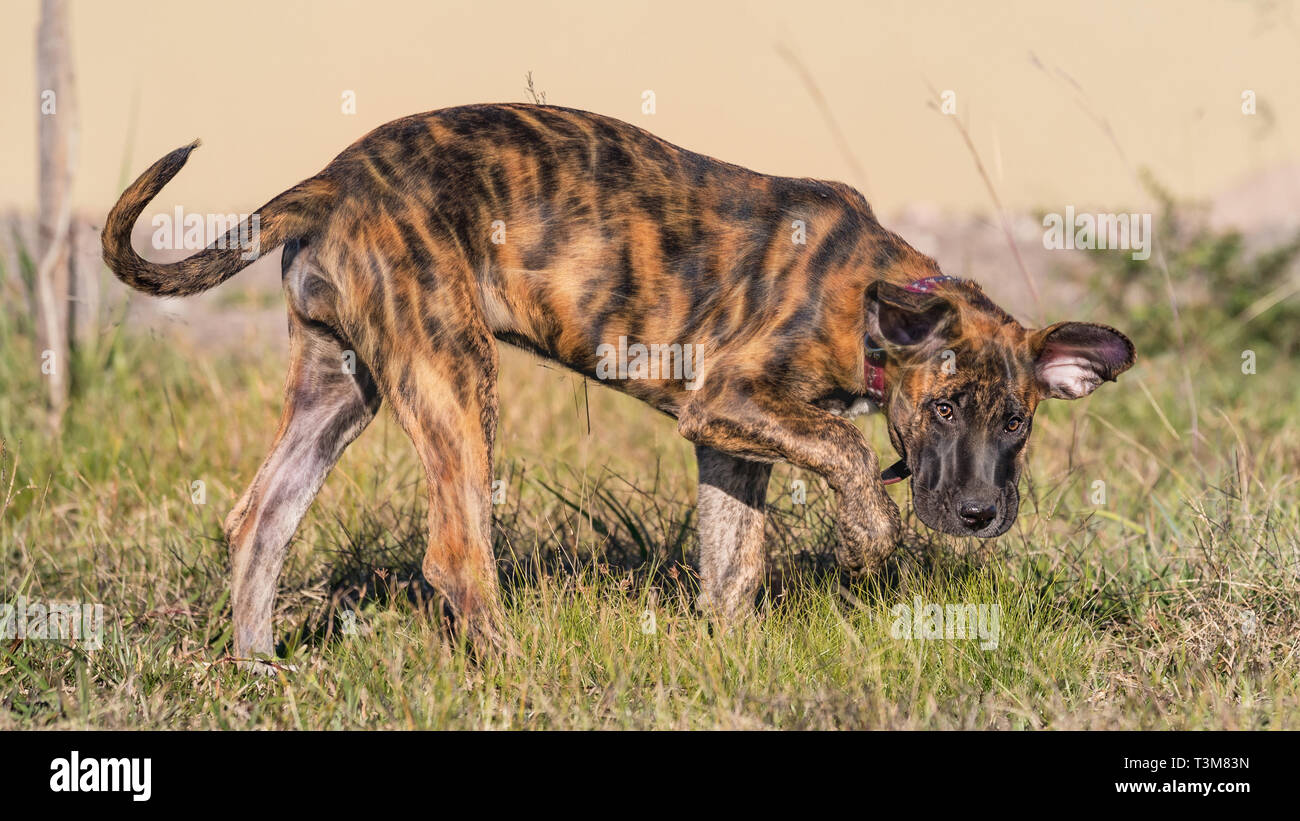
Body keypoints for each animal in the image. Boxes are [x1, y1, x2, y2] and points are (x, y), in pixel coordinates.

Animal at [104, 102, 1138, 657]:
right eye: (945, 407)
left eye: (1017, 423)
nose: (980, 515)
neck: (873, 294)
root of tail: (331, 177)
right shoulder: (733, 403)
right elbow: (847, 450)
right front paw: (869, 537)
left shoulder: (732, 443)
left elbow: (734, 562)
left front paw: (732, 655)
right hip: (453, 372)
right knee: (456, 553)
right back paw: (511, 670)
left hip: (341, 384)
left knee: (259, 520)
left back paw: (258, 667)